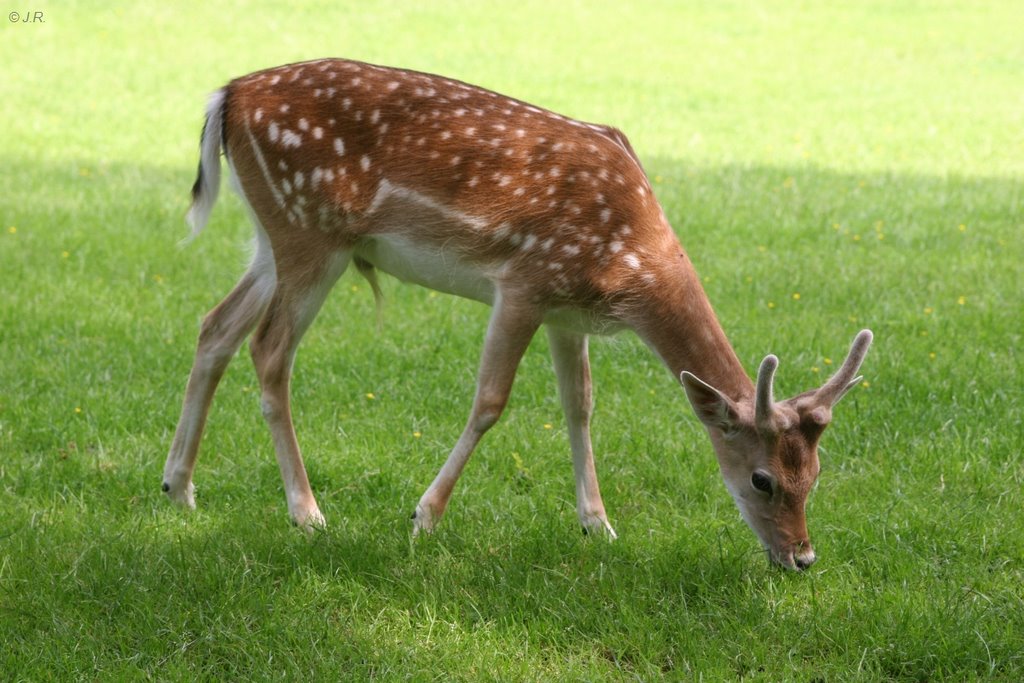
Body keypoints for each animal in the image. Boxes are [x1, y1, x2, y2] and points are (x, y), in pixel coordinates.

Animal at [161, 57, 872, 573]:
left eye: (814, 475)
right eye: (761, 479)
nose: (803, 558)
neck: (627, 266)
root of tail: (227, 95)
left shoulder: (566, 312)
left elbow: (579, 405)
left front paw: (598, 524)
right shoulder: (525, 281)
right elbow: (490, 401)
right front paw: (424, 517)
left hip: (273, 238)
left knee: (215, 326)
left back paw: (179, 487)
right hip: (309, 230)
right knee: (268, 349)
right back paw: (306, 512)